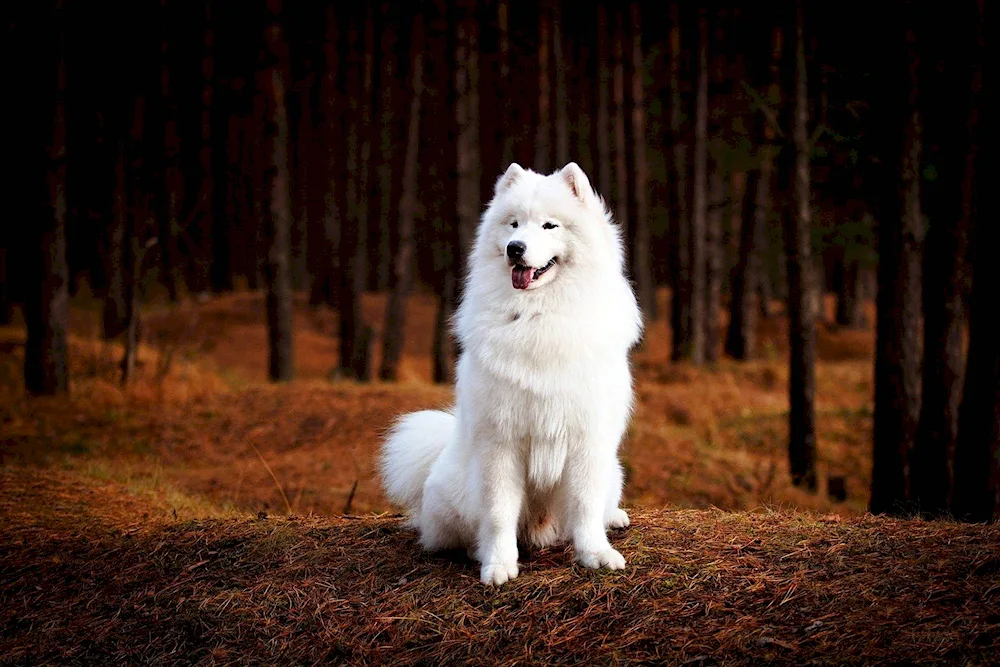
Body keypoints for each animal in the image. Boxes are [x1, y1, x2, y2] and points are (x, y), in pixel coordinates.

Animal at [378, 160, 644, 584]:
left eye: (549, 226)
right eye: (514, 224)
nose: (514, 248)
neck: (539, 315)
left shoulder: (587, 438)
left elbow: (585, 505)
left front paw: (595, 554)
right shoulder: (501, 442)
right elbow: (500, 511)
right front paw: (499, 564)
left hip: (612, 469)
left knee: (601, 504)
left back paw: (614, 517)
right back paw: (475, 549)